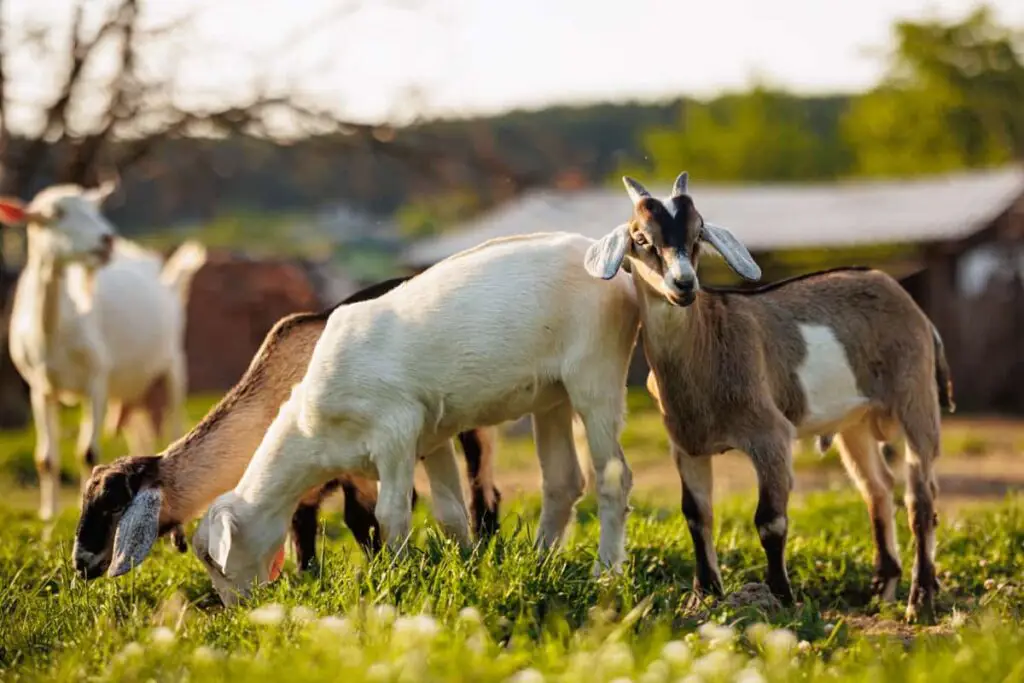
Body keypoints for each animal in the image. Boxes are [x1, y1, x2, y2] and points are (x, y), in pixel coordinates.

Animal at [0, 184, 207, 520]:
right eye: (56, 214)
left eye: (95, 209)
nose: (107, 239)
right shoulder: (39, 385)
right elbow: (45, 458)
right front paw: (48, 515)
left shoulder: (96, 378)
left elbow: (88, 452)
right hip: (132, 388)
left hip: (173, 360)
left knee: (175, 421)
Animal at [192, 232, 638, 606]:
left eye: (213, 561)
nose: (234, 608)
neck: (311, 431)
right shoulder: (432, 437)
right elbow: (450, 514)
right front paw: (467, 566)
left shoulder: (396, 431)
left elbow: (391, 514)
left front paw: (397, 576)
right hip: (551, 395)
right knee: (563, 481)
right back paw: (541, 561)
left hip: (595, 372)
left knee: (613, 478)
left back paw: (606, 572)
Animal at [589, 172, 954, 626]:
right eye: (641, 238)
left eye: (698, 233)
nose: (684, 284)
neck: (708, 341)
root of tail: (910, 306)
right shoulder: (687, 445)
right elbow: (696, 514)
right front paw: (704, 595)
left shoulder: (771, 435)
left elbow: (770, 520)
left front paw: (780, 598)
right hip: (855, 423)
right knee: (877, 488)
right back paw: (882, 589)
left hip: (915, 398)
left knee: (920, 497)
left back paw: (919, 600)